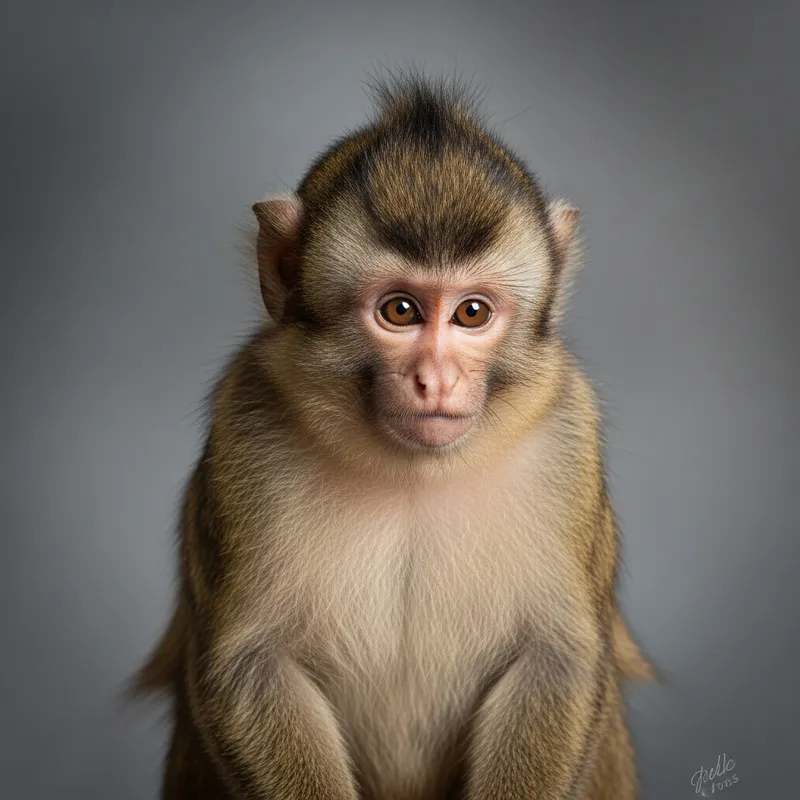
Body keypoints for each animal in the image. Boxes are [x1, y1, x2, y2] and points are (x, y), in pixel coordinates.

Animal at [134, 73, 654, 800]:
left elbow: (558, 660)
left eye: (472, 313)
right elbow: (249, 667)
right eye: (400, 311)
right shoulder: (245, 426)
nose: (435, 380)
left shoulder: (567, 437)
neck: (414, 473)